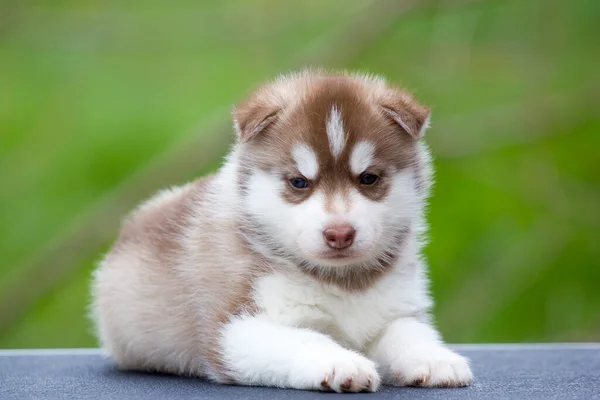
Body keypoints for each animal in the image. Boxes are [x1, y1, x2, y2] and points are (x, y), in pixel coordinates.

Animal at [90, 70, 474, 392]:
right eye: (299, 182)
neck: (344, 281)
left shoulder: (396, 307)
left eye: (368, 178)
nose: (339, 234)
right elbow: (305, 338)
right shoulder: (235, 327)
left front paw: (434, 358)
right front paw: (340, 362)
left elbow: (409, 330)